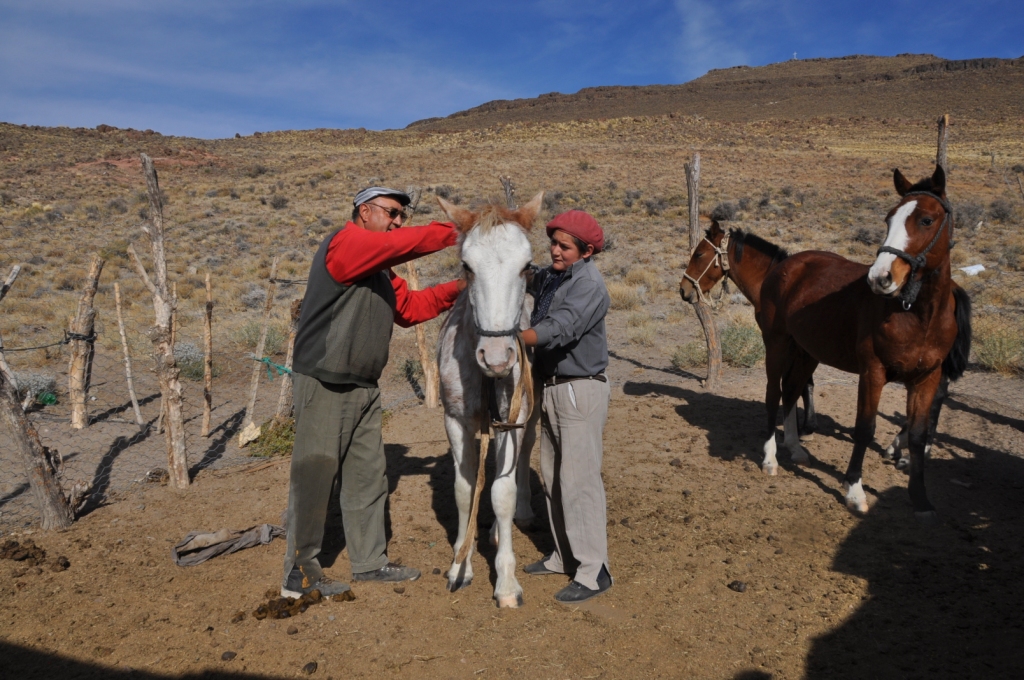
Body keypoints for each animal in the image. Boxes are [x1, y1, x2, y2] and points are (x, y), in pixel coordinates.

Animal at [435, 192, 544, 608]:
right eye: (467, 266)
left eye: (527, 266)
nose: (497, 358)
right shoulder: (456, 422)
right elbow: (465, 488)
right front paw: (460, 565)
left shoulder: (512, 420)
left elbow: (502, 492)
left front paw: (507, 582)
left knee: (524, 455)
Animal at [678, 218, 968, 470]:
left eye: (699, 254)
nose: (683, 289)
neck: (774, 278)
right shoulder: (805, 349)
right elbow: (799, 386)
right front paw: (801, 429)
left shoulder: (792, 346)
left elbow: (797, 386)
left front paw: (803, 428)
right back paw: (903, 447)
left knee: (937, 397)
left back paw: (909, 450)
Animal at [756, 166, 970, 521]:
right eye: (888, 218)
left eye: (926, 220)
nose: (880, 277)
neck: (920, 316)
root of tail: (786, 265)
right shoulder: (873, 372)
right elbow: (865, 428)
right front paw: (855, 491)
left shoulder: (927, 378)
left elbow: (917, 434)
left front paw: (920, 498)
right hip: (777, 345)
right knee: (774, 393)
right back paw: (770, 458)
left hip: (807, 352)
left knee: (791, 390)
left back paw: (796, 448)